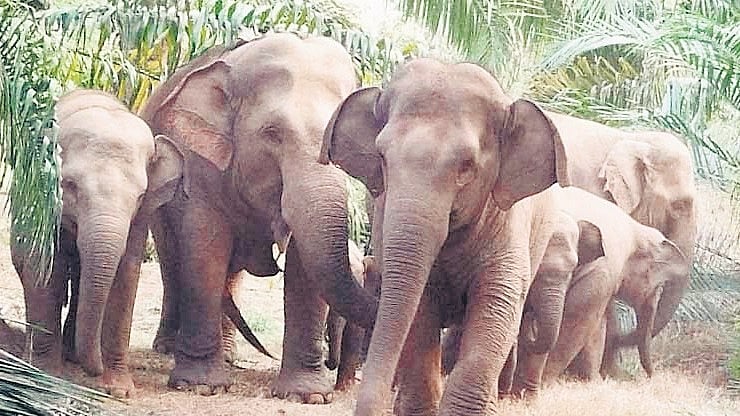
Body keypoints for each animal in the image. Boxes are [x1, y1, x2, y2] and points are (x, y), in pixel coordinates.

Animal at [10, 89, 184, 397]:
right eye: (69, 185)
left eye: (140, 196)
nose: (96, 368)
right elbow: (44, 266)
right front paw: (46, 375)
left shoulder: (140, 218)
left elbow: (126, 275)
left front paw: (119, 391)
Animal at [139, 33, 377, 400]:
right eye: (272, 133)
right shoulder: (195, 158)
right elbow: (205, 247)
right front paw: (201, 386)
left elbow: (304, 264)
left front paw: (306, 395)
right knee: (171, 260)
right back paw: (166, 348)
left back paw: (229, 355)